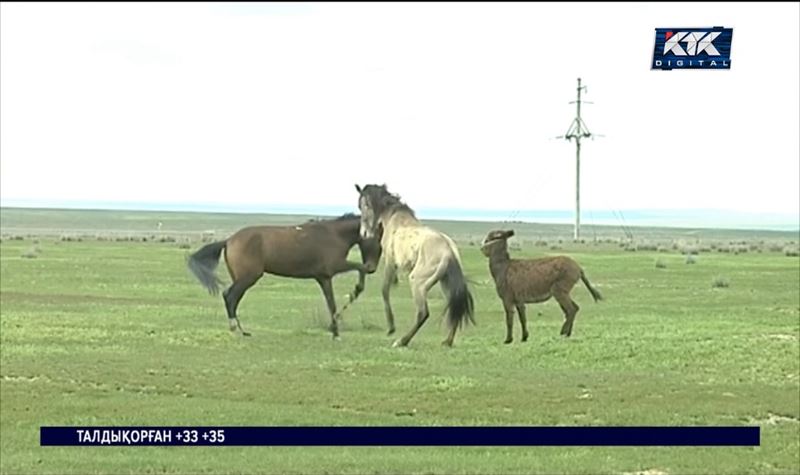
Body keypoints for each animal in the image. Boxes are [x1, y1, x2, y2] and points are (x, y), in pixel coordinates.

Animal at [191, 214, 384, 340]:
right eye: (378, 243)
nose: (373, 268)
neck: (334, 235)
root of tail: (229, 240)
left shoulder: (324, 277)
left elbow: (331, 303)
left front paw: (334, 331)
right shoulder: (334, 267)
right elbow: (358, 269)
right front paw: (355, 292)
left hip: (241, 278)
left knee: (232, 297)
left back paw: (241, 330)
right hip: (248, 277)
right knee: (229, 296)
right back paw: (236, 328)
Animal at [354, 184, 472, 348]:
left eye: (363, 205)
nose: (364, 233)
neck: (394, 218)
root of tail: (449, 252)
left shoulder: (390, 261)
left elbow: (384, 290)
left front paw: (391, 327)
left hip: (417, 281)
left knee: (423, 313)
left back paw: (402, 341)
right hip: (445, 283)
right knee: (454, 306)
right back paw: (447, 341)